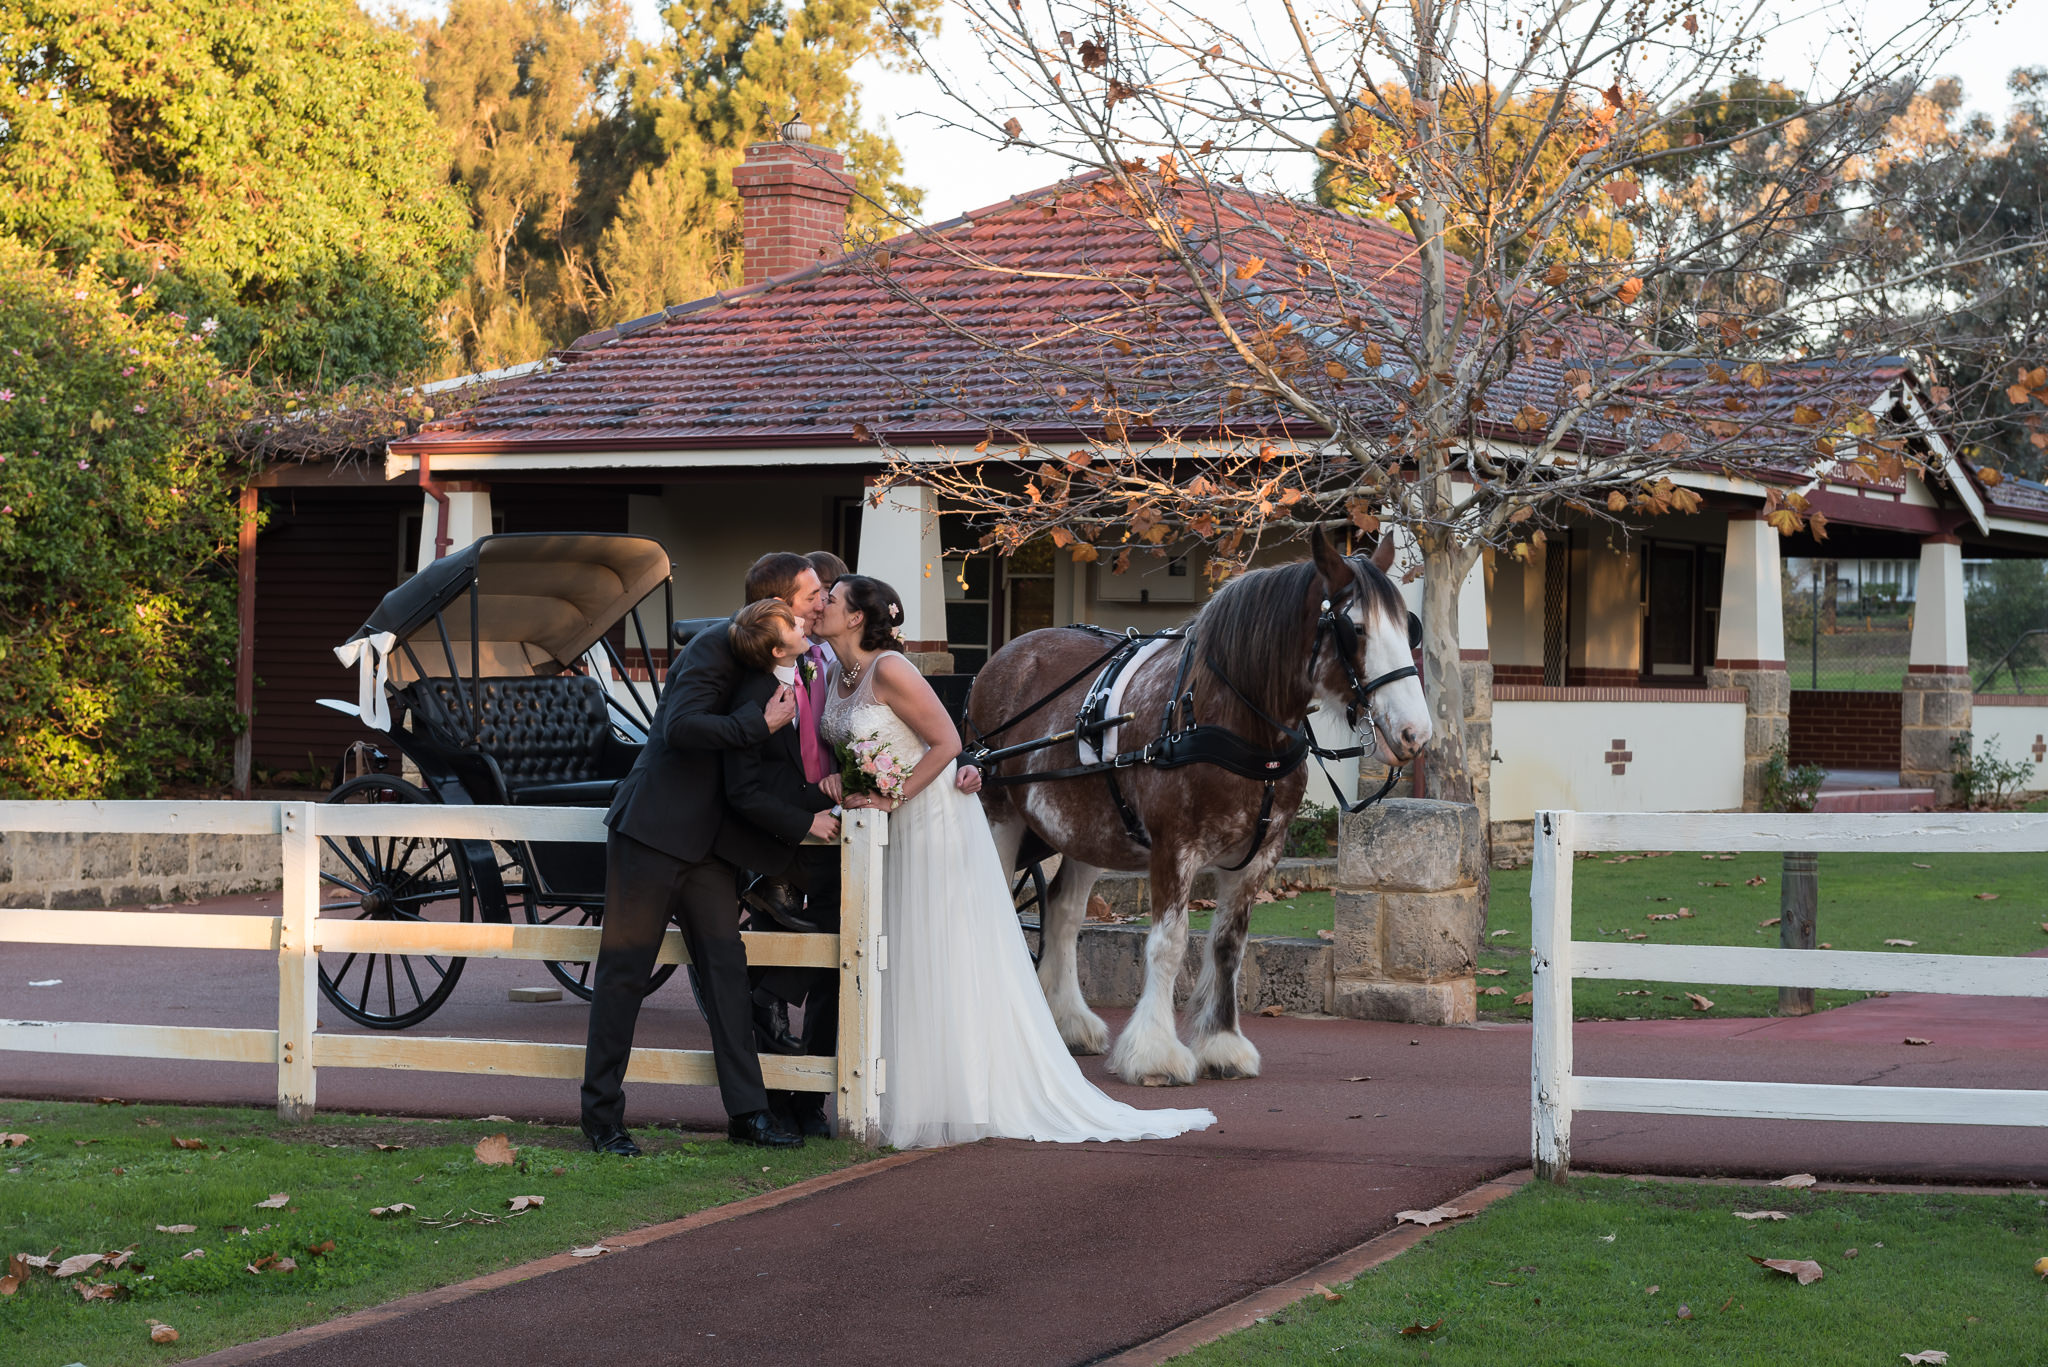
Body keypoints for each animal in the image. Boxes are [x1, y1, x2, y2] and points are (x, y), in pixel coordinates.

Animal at [970, 528, 1425, 1082]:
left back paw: (1068, 1022)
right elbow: (1169, 944)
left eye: (1408, 627)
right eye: (1354, 628)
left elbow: (1228, 945)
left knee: (1063, 913)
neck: (1228, 722)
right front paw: (1155, 1051)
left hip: (1087, 832)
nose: (1415, 732)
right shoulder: (1174, 848)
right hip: (999, 811)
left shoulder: (1259, 857)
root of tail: (1011, 652)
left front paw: (1222, 1044)